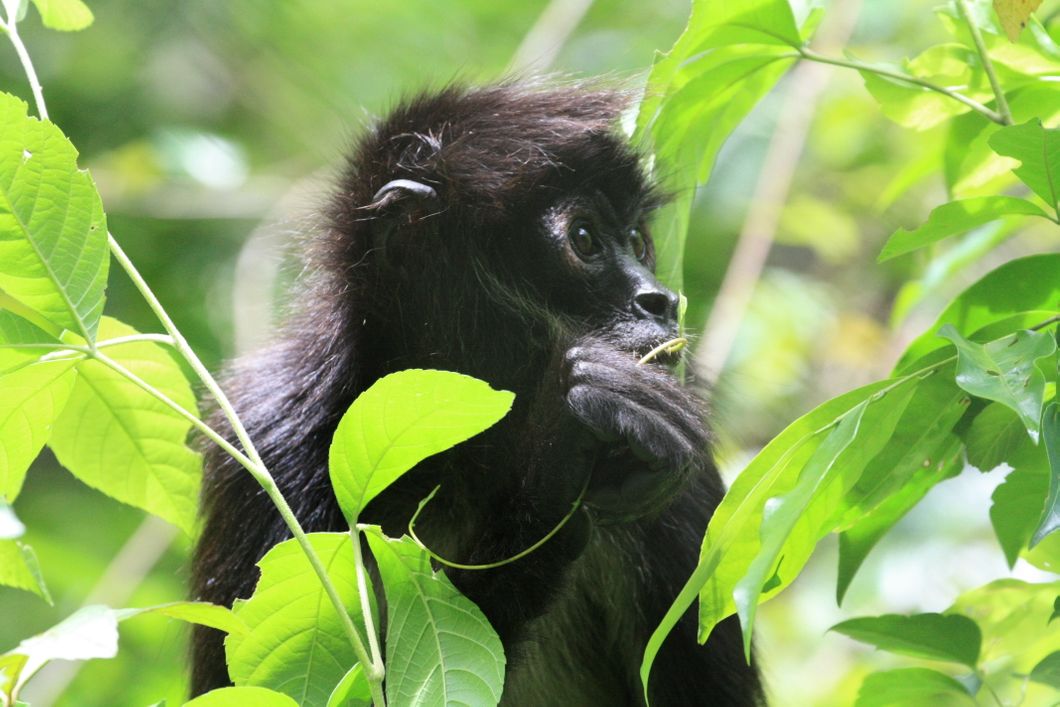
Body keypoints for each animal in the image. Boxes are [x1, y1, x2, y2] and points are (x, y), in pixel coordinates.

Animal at [191, 80, 763, 706]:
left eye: (638, 241)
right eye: (584, 239)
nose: (661, 300)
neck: (458, 465)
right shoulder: (267, 441)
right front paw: (552, 468)